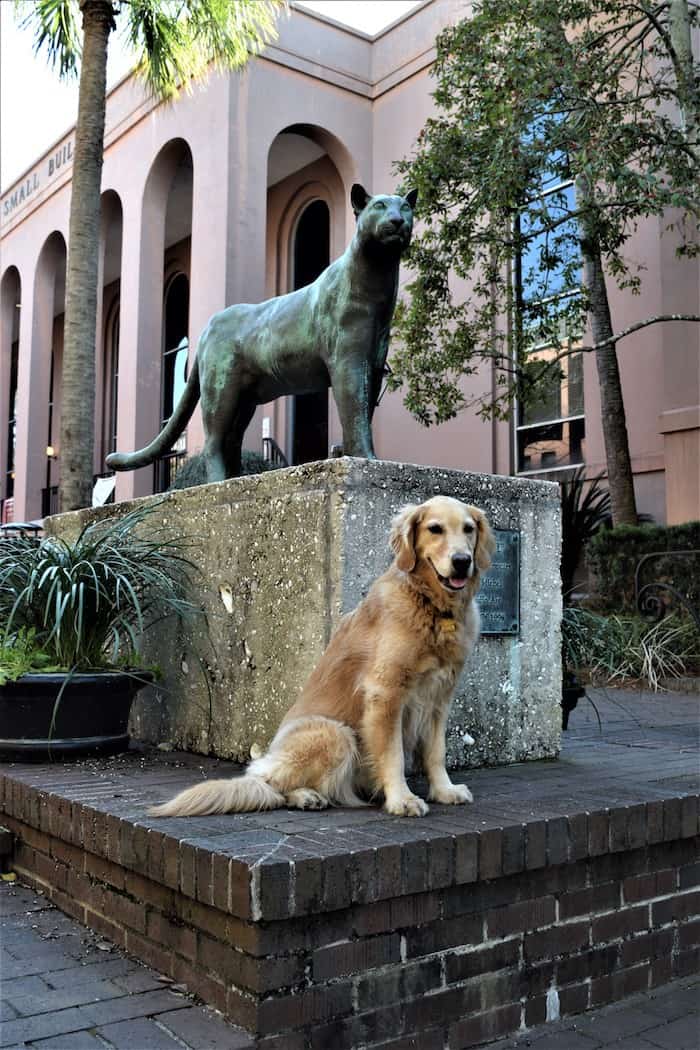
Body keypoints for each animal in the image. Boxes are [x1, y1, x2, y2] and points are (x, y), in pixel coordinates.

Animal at [151, 497, 495, 818]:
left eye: (468, 529)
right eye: (435, 529)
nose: (462, 561)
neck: (433, 607)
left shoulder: (439, 697)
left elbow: (436, 752)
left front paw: (444, 790)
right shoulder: (385, 694)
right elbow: (393, 754)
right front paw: (402, 799)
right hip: (336, 733)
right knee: (271, 785)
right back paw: (305, 796)